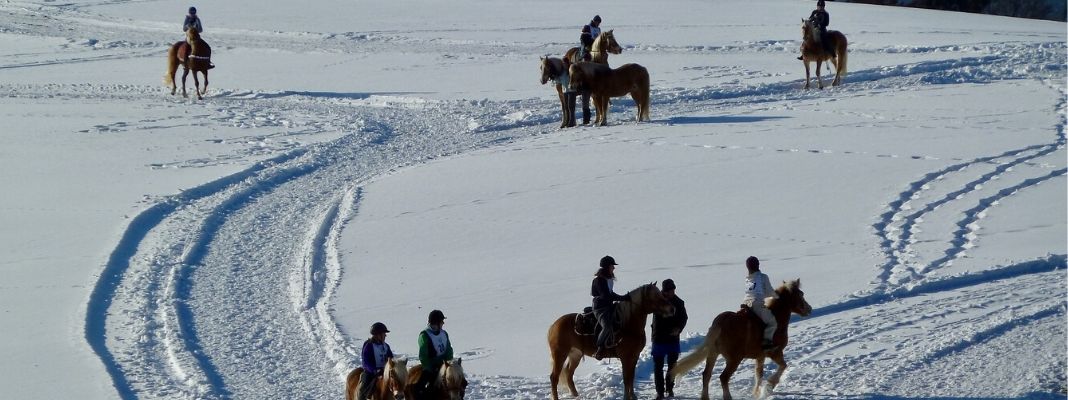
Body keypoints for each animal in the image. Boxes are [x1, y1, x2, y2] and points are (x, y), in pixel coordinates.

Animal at [670, 279, 811, 400]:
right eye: (801, 294)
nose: (809, 309)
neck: (777, 317)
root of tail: (721, 322)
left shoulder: (760, 356)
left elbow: (759, 374)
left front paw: (757, 392)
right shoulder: (775, 353)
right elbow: (782, 366)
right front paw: (769, 387)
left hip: (713, 354)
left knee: (706, 375)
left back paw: (705, 397)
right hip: (734, 359)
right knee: (723, 377)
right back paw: (728, 397)